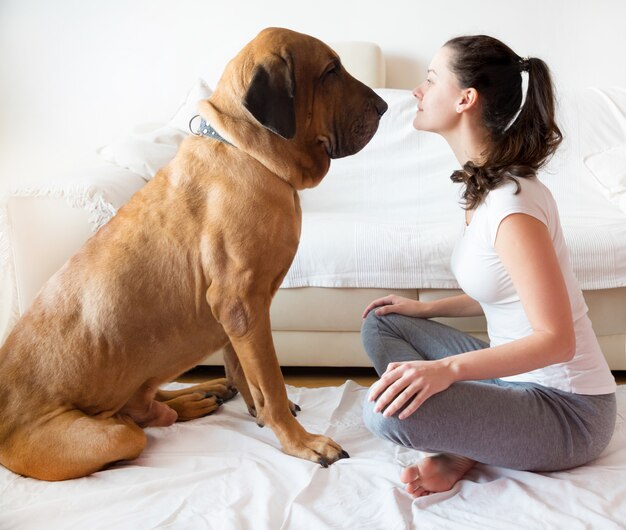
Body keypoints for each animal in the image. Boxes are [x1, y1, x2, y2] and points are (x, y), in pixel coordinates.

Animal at [0, 26, 386, 478]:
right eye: (329, 72)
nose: (385, 106)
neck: (248, 152)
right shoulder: (242, 305)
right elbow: (270, 382)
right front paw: (300, 442)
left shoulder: (239, 316)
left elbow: (245, 372)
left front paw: (256, 409)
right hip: (109, 435)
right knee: (133, 423)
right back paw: (185, 402)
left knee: (148, 402)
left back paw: (198, 394)